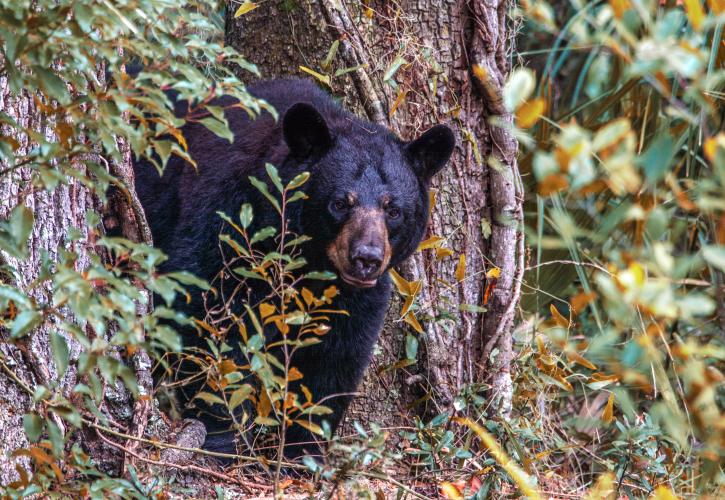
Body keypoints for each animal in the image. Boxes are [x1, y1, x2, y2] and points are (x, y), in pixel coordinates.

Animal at [132, 79, 452, 460]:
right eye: (340, 202)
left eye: (394, 210)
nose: (366, 258)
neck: (308, 261)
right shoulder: (227, 228)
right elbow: (204, 317)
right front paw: (222, 435)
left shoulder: (355, 297)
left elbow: (334, 358)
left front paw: (303, 452)